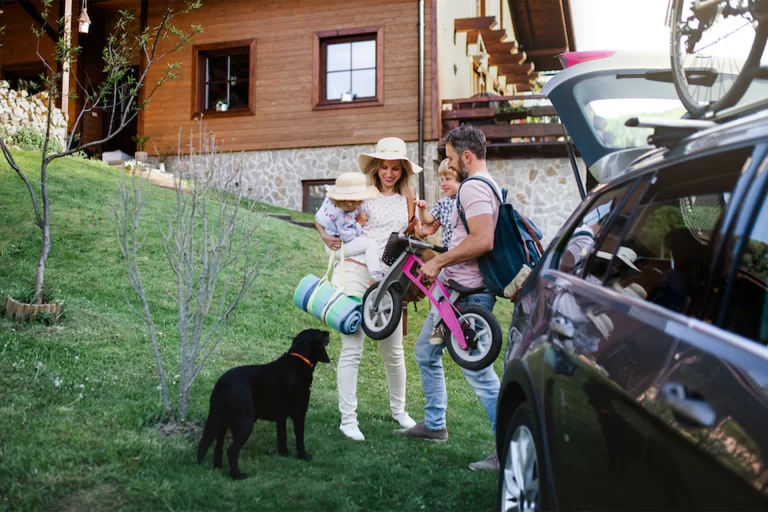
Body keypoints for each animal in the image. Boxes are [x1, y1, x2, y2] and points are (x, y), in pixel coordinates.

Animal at [196, 330, 328, 478]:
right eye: (320, 333)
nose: (328, 332)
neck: (299, 358)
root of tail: (221, 384)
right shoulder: (299, 414)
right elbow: (300, 439)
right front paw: (303, 456)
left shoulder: (281, 417)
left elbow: (282, 438)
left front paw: (284, 455)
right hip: (245, 424)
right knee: (231, 451)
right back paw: (238, 476)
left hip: (222, 422)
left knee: (218, 446)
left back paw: (218, 468)